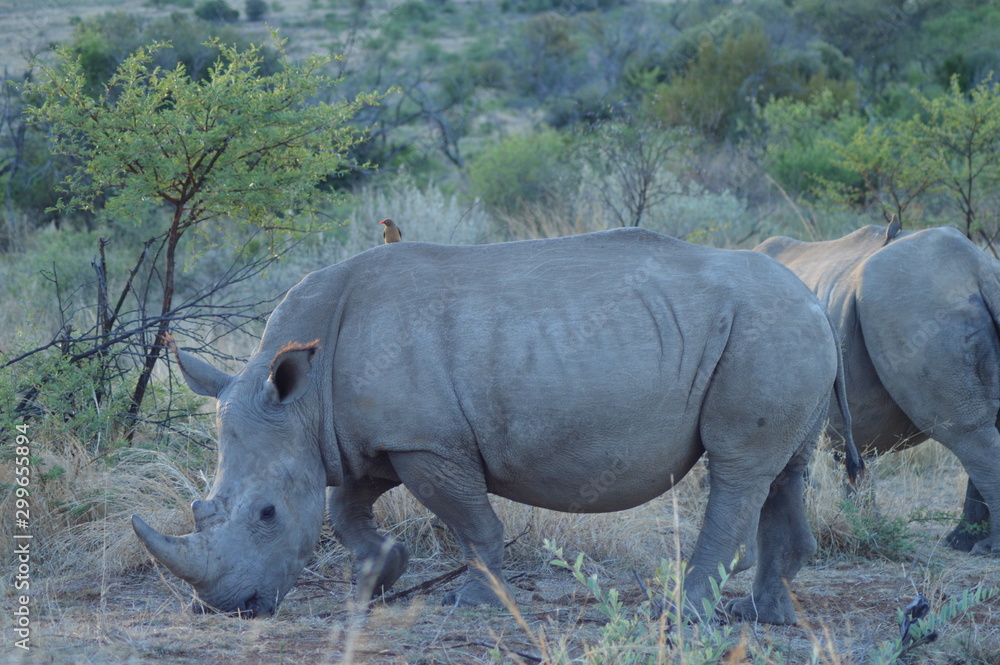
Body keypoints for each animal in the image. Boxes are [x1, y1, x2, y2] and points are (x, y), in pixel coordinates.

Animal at [132, 228, 861, 625]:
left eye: (267, 514)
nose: (229, 608)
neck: (302, 397)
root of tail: (811, 295)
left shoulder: (426, 442)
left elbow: (471, 523)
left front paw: (473, 603)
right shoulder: (367, 437)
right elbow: (344, 506)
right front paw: (383, 572)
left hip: (765, 332)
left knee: (737, 469)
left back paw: (682, 614)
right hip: (782, 332)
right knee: (784, 470)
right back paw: (759, 614)